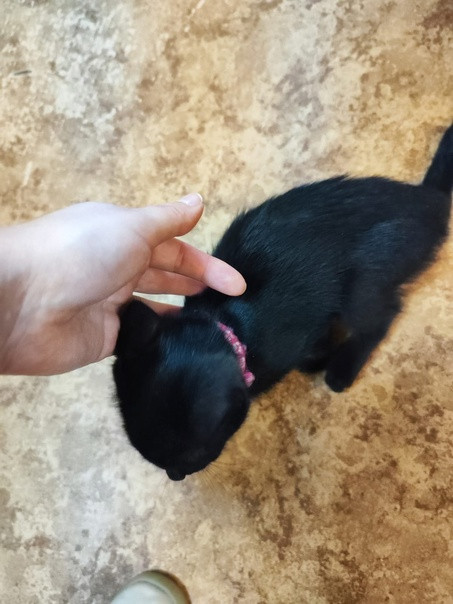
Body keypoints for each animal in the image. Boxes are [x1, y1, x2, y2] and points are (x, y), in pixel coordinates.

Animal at [113, 125, 452, 481]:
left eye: (195, 455)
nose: (175, 475)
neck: (228, 324)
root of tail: (429, 200)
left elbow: (314, 350)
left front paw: (321, 361)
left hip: (365, 280)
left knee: (383, 316)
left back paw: (341, 369)